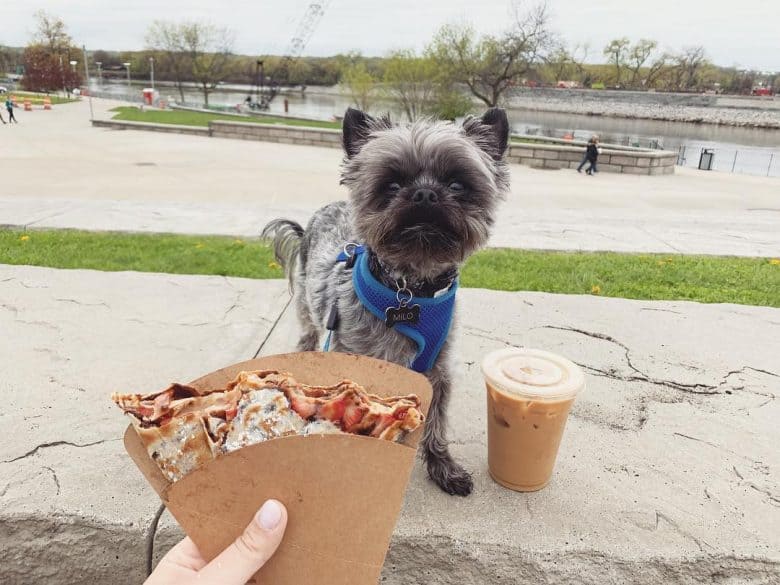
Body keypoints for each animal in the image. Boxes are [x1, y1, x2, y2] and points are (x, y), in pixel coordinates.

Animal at [262, 108, 512, 492]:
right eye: (392, 185)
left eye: (457, 184)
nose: (424, 193)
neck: (410, 291)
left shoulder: (438, 370)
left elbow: (436, 423)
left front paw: (443, 467)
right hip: (309, 312)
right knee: (307, 337)